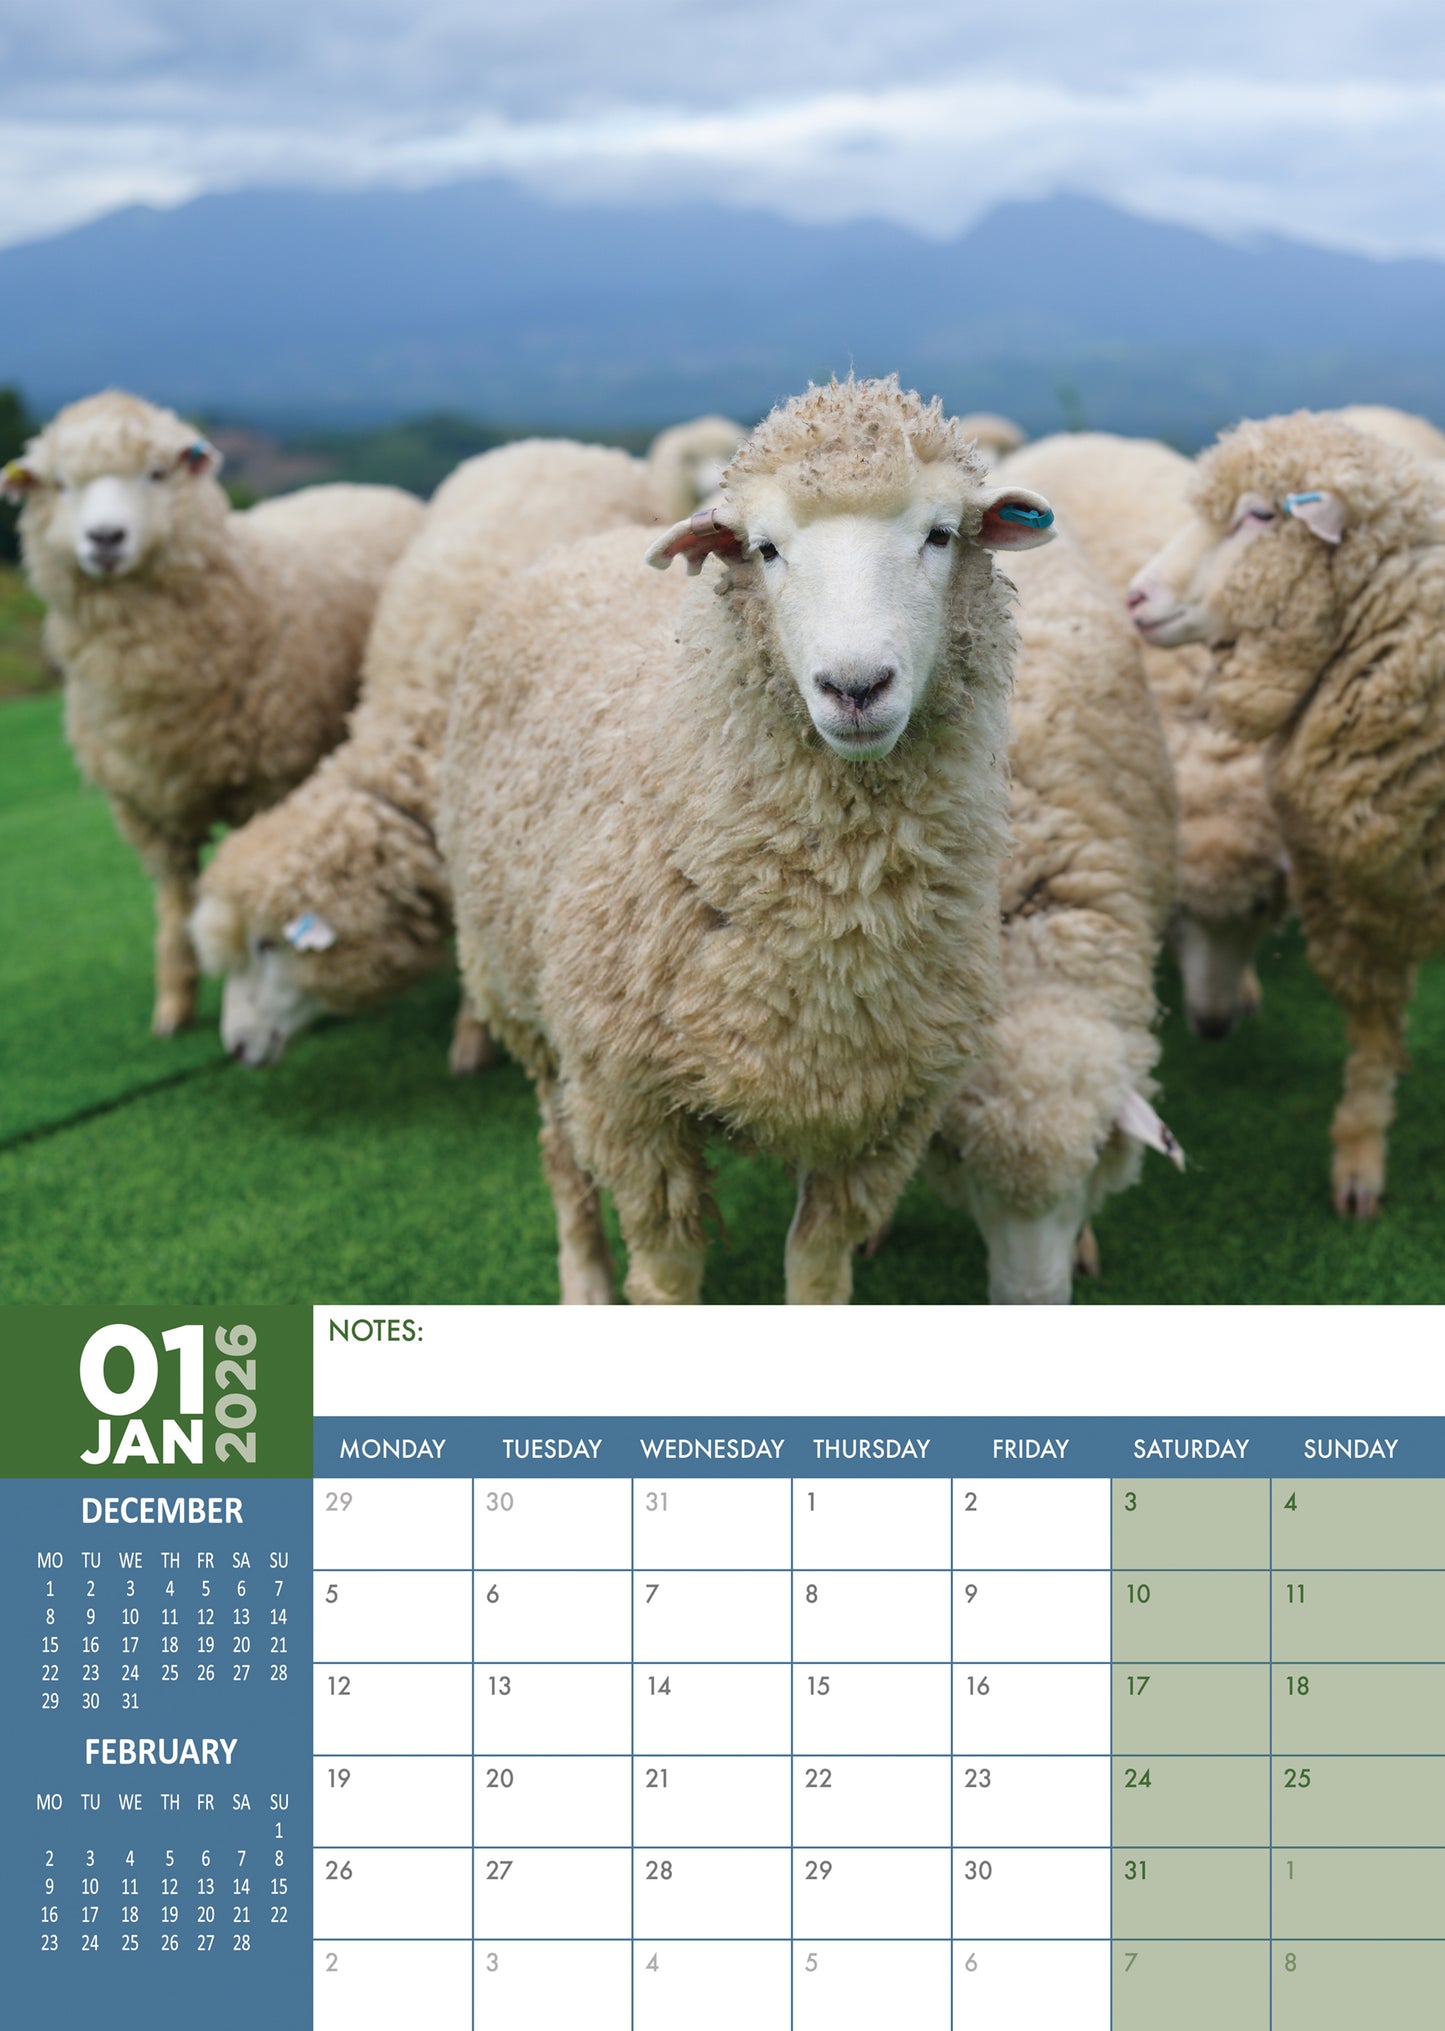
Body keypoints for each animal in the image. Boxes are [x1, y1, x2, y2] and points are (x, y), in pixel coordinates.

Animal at [2, 390, 422, 1035]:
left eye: (155, 473)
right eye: (61, 485)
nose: (105, 538)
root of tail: (360, 485)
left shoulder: (272, 780)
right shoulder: (145, 810)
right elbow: (176, 904)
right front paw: (173, 1006)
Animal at [438, 376, 1058, 1305]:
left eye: (940, 534)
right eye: (765, 549)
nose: (853, 686)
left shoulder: (880, 1113)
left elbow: (817, 1270)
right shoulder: (631, 1105)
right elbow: (664, 1280)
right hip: (523, 1003)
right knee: (560, 1154)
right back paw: (583, 1279)